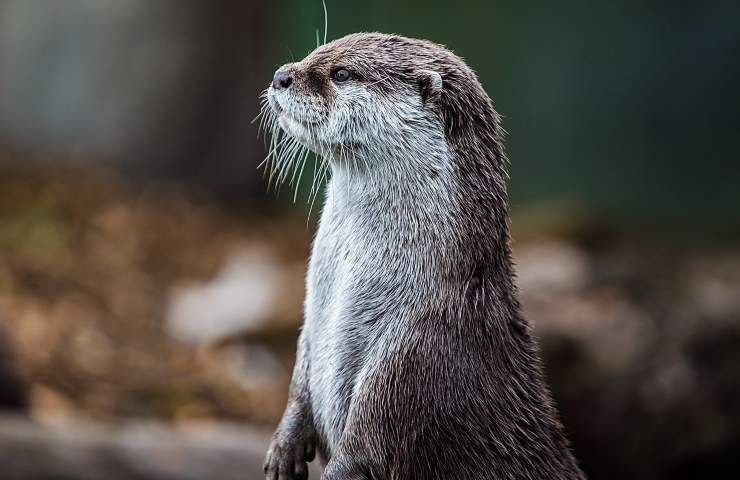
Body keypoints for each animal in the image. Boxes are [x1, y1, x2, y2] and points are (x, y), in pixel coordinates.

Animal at [260, 33, 584, 480]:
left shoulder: (410, 356)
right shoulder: (311, 321)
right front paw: (283, 447)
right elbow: (299, 378)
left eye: (341, 73)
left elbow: (363, 449)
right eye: (315, 52)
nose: (280, 76)